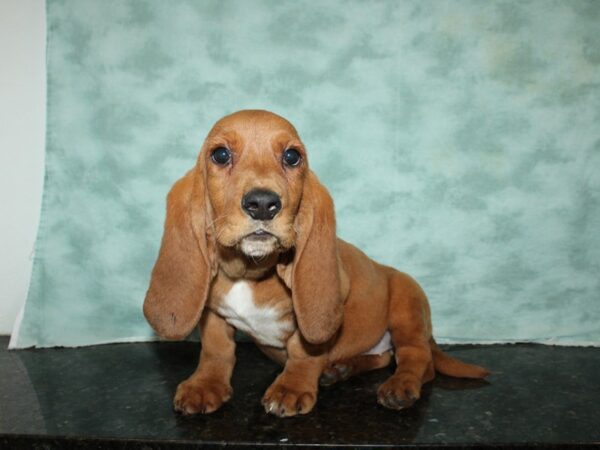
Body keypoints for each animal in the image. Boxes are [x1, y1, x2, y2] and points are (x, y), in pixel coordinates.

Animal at [143, 110, 490, 418]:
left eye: (292, 157)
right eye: (220, 155)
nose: (263, 204)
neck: (250, 273)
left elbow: (303, 350)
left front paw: (292, 387)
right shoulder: (213, 314)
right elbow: (216, 351)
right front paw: (205, 385)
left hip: (407, 309)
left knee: (417, 359)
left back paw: (400, 386)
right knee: (382, 357)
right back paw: (341, 369)